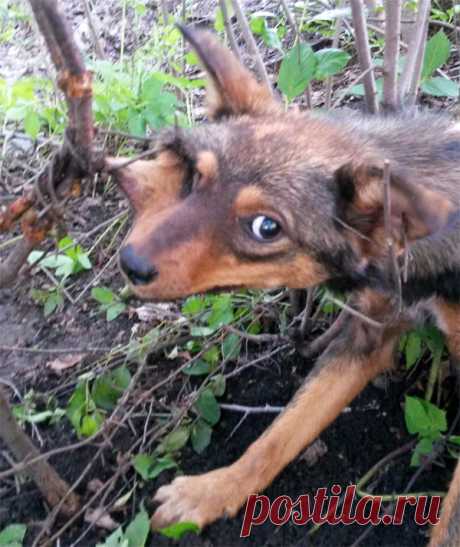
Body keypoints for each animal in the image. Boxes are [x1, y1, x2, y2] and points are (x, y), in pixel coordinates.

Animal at [108, 26, 460, 547]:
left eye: (266, 228)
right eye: (196, 176)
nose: (128, 263)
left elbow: (451, 523)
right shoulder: (365, 335)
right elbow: (281, 432)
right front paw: (212, 491)